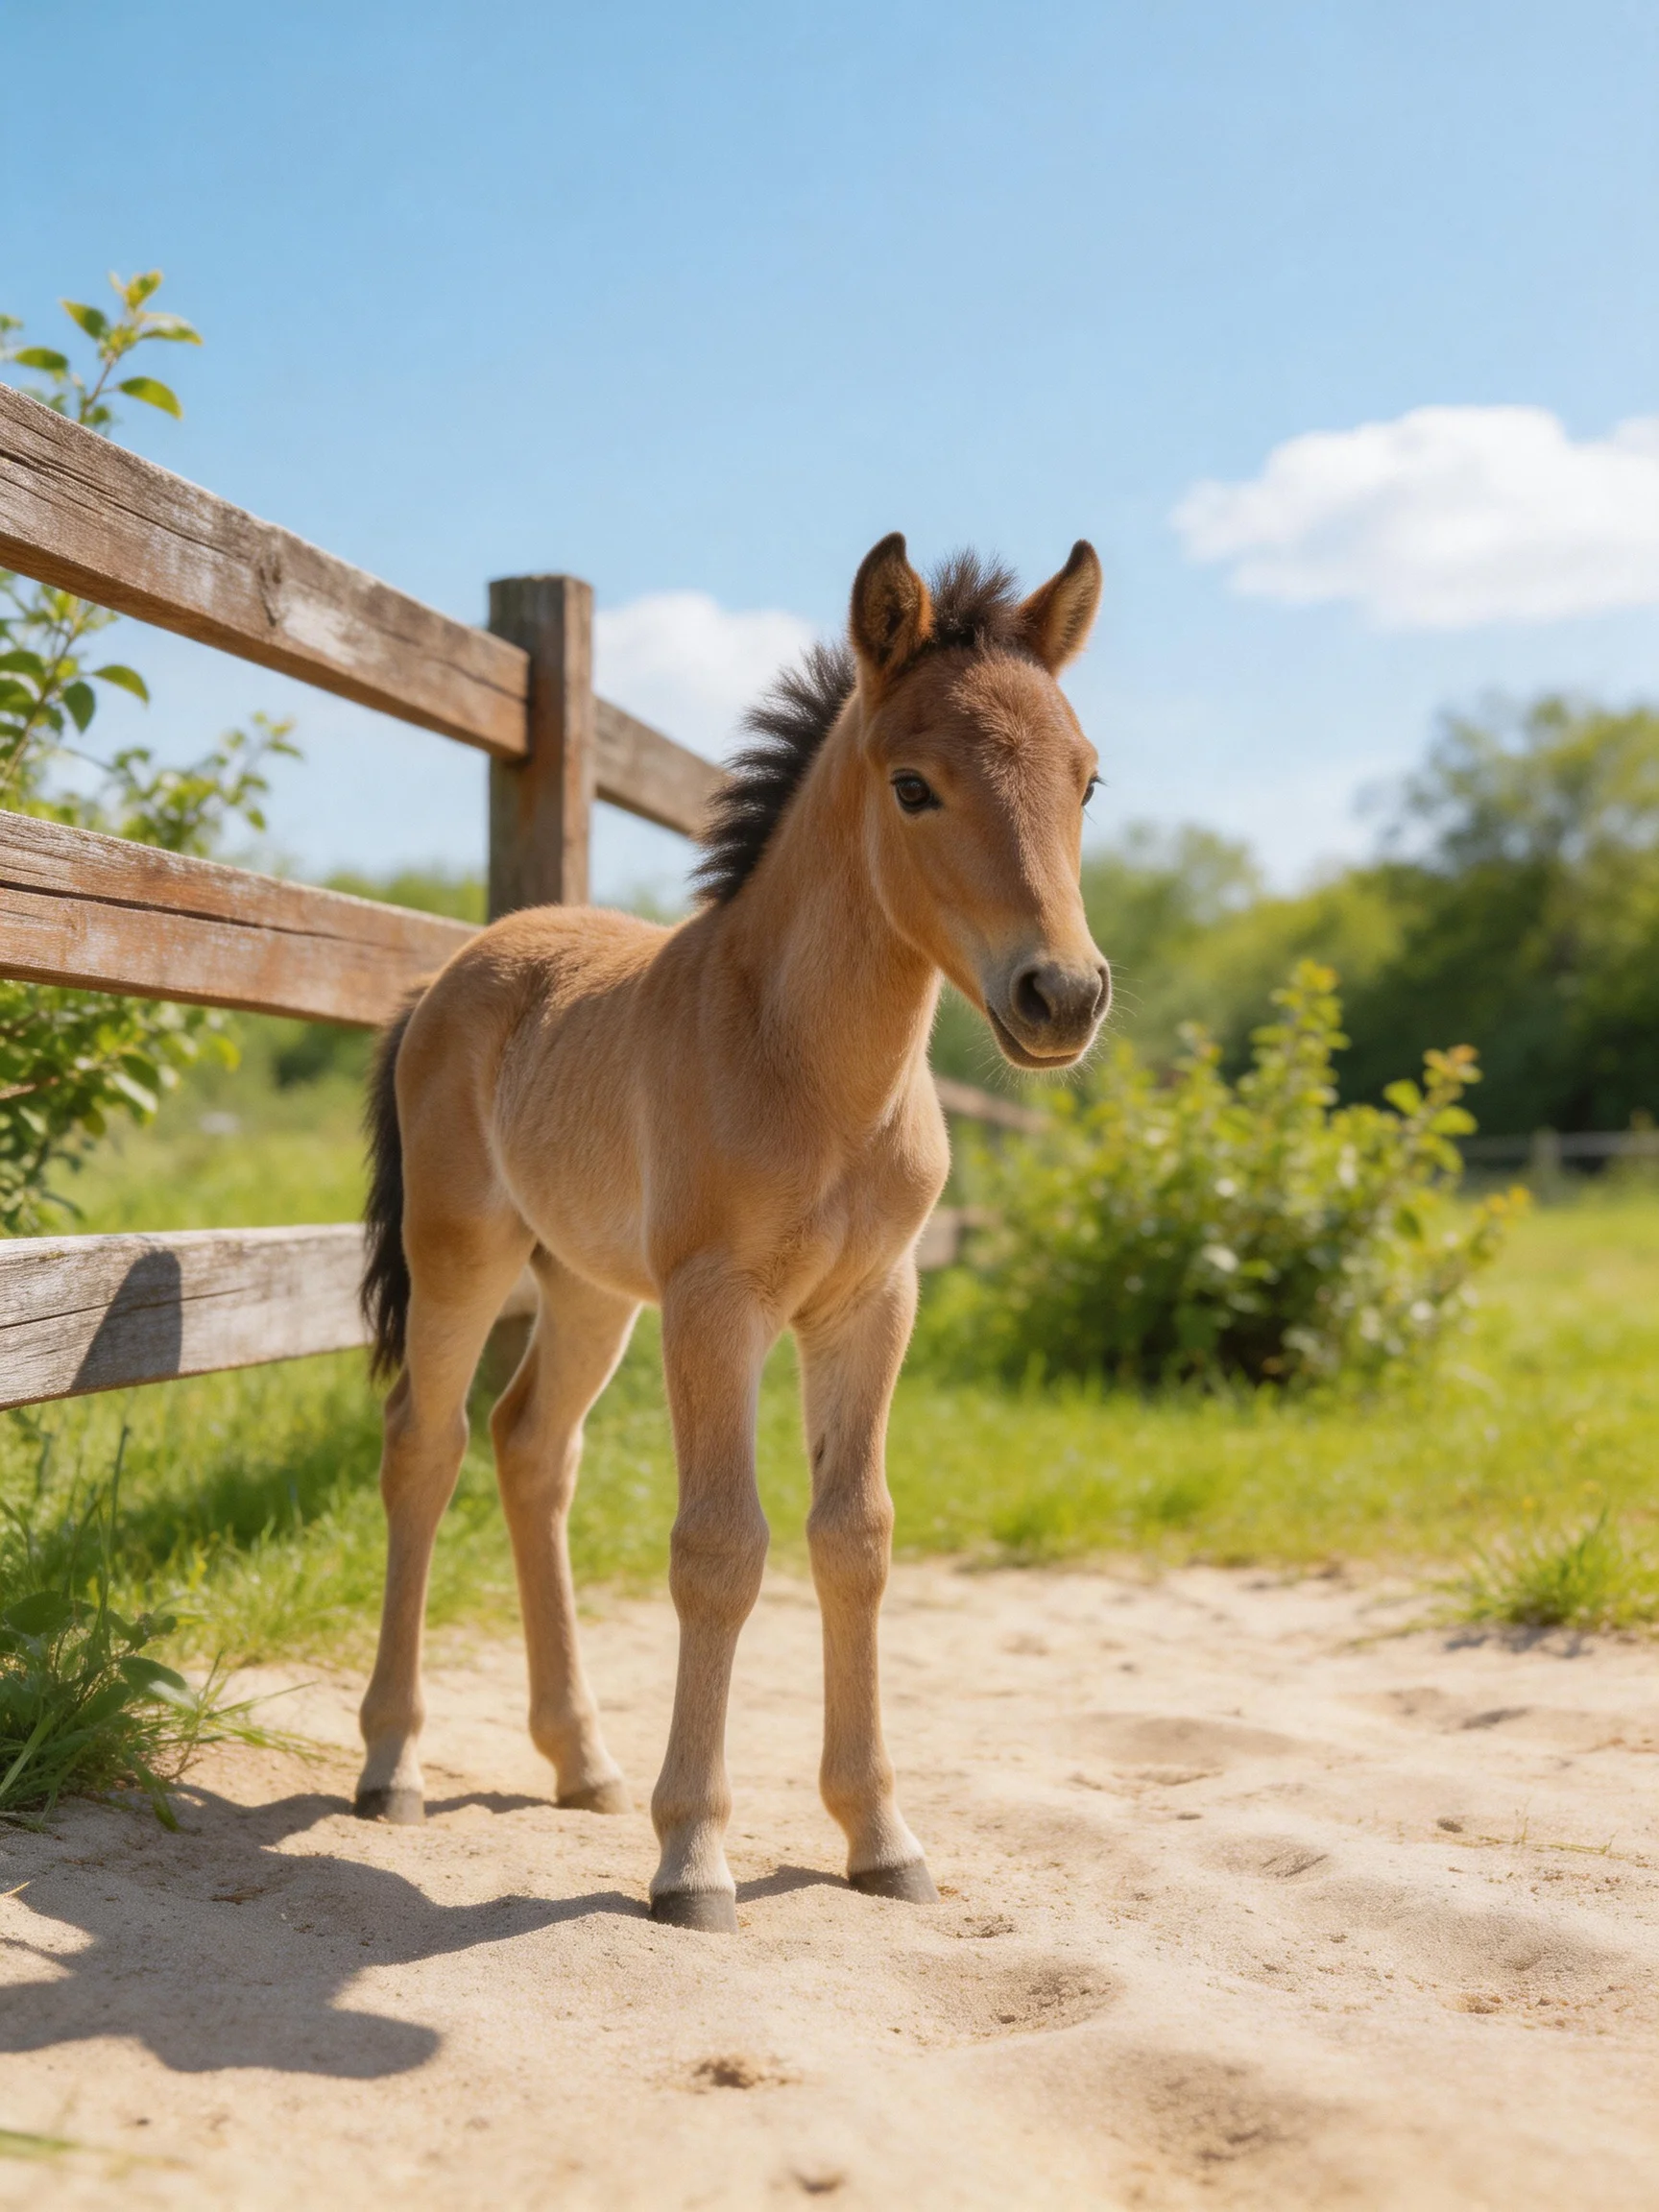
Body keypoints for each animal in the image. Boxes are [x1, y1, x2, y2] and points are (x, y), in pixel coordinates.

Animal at [354, 532, 1110, 1930]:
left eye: (1087, 779)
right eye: (914, 787)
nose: (1063, 995)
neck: (813, 1070)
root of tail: (450, 972)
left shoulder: (873, 1305)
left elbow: (853, 1540)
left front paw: (881, 1840)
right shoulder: (718, 1305)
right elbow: (720, 1549)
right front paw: (694, 1858)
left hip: (589, 1288)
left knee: (532, 1448)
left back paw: (582, 1763)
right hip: (462, 1260)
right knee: (425, 1450)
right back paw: (393, 1766)